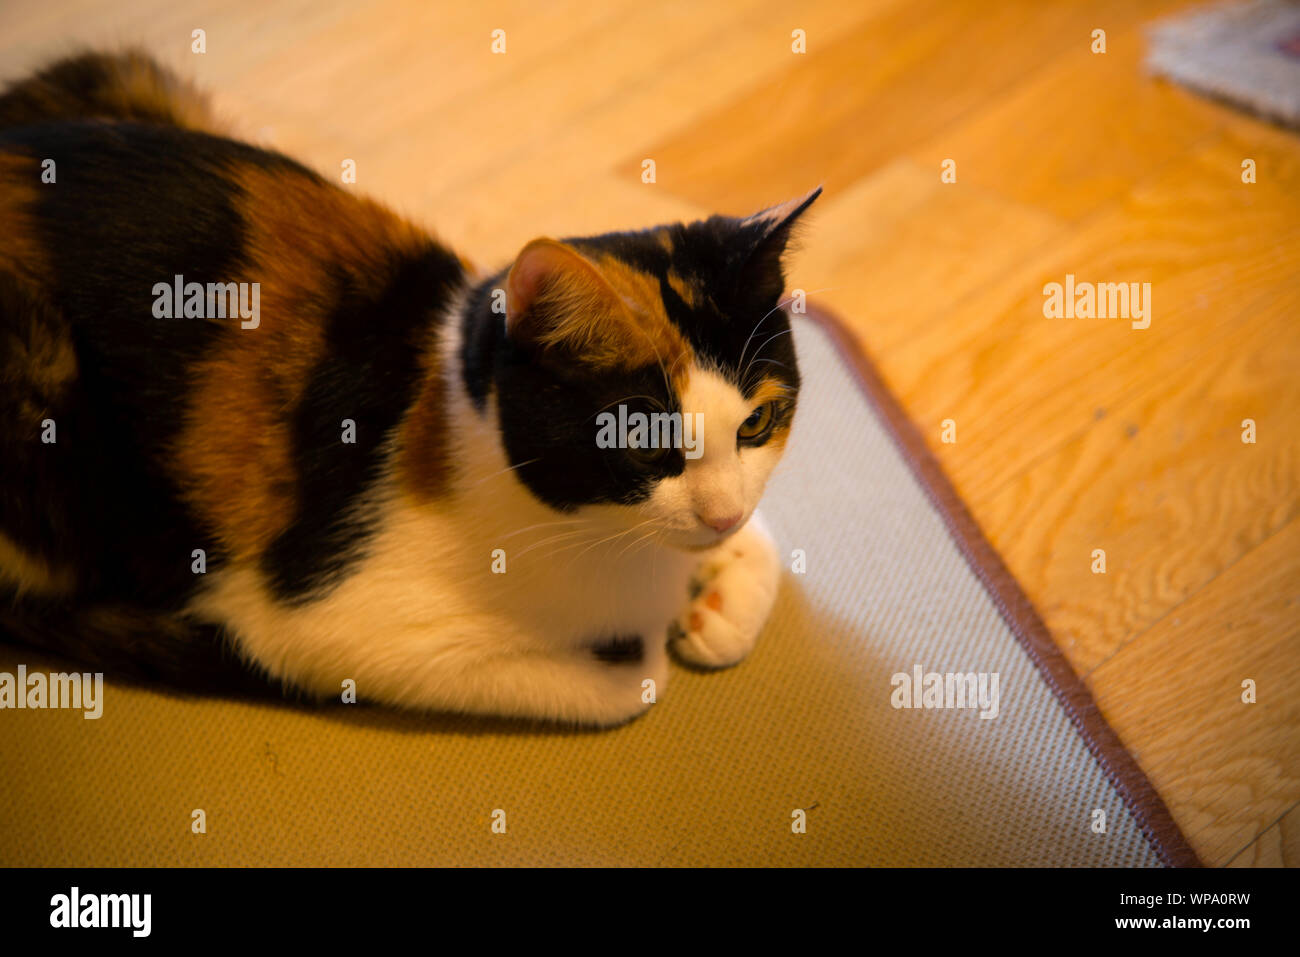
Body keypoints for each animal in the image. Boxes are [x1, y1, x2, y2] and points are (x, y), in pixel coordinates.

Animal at [0, 50, 816, 722]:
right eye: (643, 442)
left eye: (756, 423)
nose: (719, 518)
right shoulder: (319, 629)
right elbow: (633, 684)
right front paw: (658, 632)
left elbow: (763, 542)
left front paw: (718, 603)